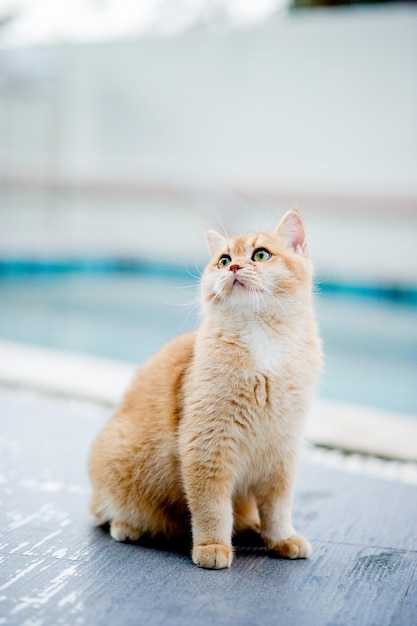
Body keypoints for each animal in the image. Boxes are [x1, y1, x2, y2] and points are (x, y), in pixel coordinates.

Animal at [88, 208, 322, 564]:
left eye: (261, 255)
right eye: (224, 260)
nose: (235, 267)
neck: (263, 344)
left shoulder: (282, 454)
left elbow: (278, 509)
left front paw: (282, 539)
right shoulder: (208, 445)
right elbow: (212, 508)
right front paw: (212, 547)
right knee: (106, 513)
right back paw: (127, 526)